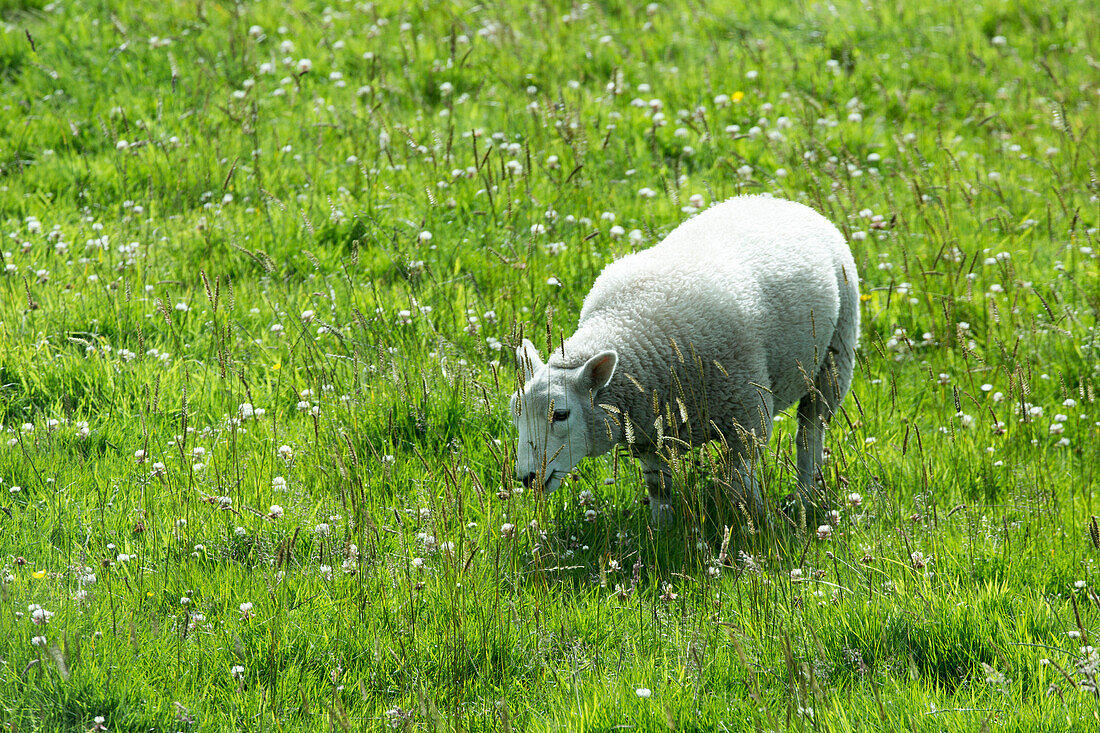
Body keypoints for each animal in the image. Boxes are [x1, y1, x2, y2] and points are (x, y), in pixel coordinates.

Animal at [510, 192, 862, 519]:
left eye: (561, 414)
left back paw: (805, 493)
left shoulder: (747, 417)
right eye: (516, 413)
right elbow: (659, 486)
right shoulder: (647, 432)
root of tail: (775, 199)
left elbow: (742, 484)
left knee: (809, 432)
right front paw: (661, 530)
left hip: (835, 356)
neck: (628, 326)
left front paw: (756, 524)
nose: (527, 478)